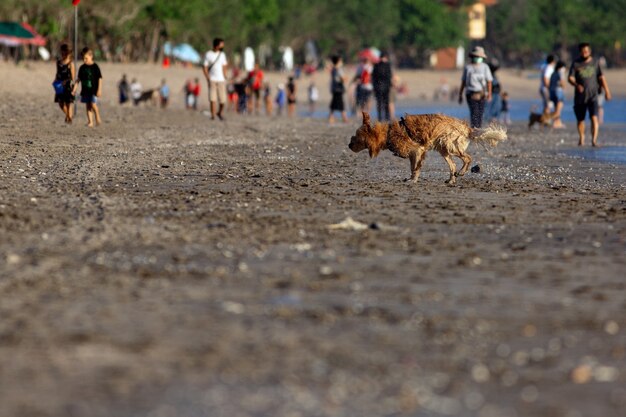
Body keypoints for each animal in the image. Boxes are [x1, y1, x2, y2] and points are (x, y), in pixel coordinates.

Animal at [348, 111, 504, 184]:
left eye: (356, 137)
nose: (349, 145)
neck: (388, 133)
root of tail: (467, 128)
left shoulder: (417, 151)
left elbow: (416, 168)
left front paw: (413, 180)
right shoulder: (414, 154)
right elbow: (413, 168)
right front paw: (411, 178)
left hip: (449, 145)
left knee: (467, 158)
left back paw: (461, 172)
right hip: (443, 150)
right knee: (453, 166)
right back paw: (451, 179)